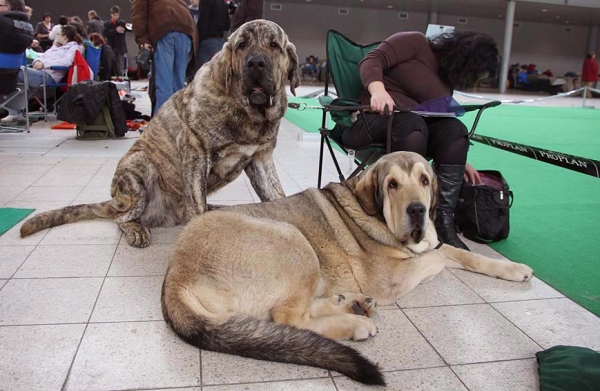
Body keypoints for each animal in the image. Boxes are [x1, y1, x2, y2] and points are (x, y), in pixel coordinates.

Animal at [18, 19, 300, 248]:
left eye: (274, 45)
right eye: (241, 45)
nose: (256, 63)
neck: (249, 112)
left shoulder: (261, 159)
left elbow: (277, 196)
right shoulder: (195, 151)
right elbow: (196, 202)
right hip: (140, 168)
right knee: (121, 218)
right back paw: (136, 229)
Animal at [162, 152, 532, 386]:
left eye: (425, 180)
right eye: (392, 184)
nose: (417, 210)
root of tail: (176, 275)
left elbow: (454, 252)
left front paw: (512, 268)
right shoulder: (393, 278)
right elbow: (437, 256)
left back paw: (350, 303)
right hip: (295, 242)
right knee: (291, 321)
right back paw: (354, 323)